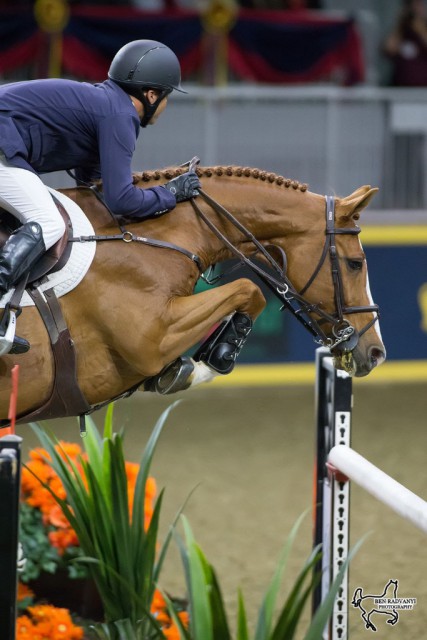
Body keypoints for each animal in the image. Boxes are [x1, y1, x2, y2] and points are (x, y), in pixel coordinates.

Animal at [0, 164, 386, 424]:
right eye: (355, 264)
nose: (376, 353)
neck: (147, 235)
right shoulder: (151, 339)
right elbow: (250, 289)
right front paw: (218, 356)